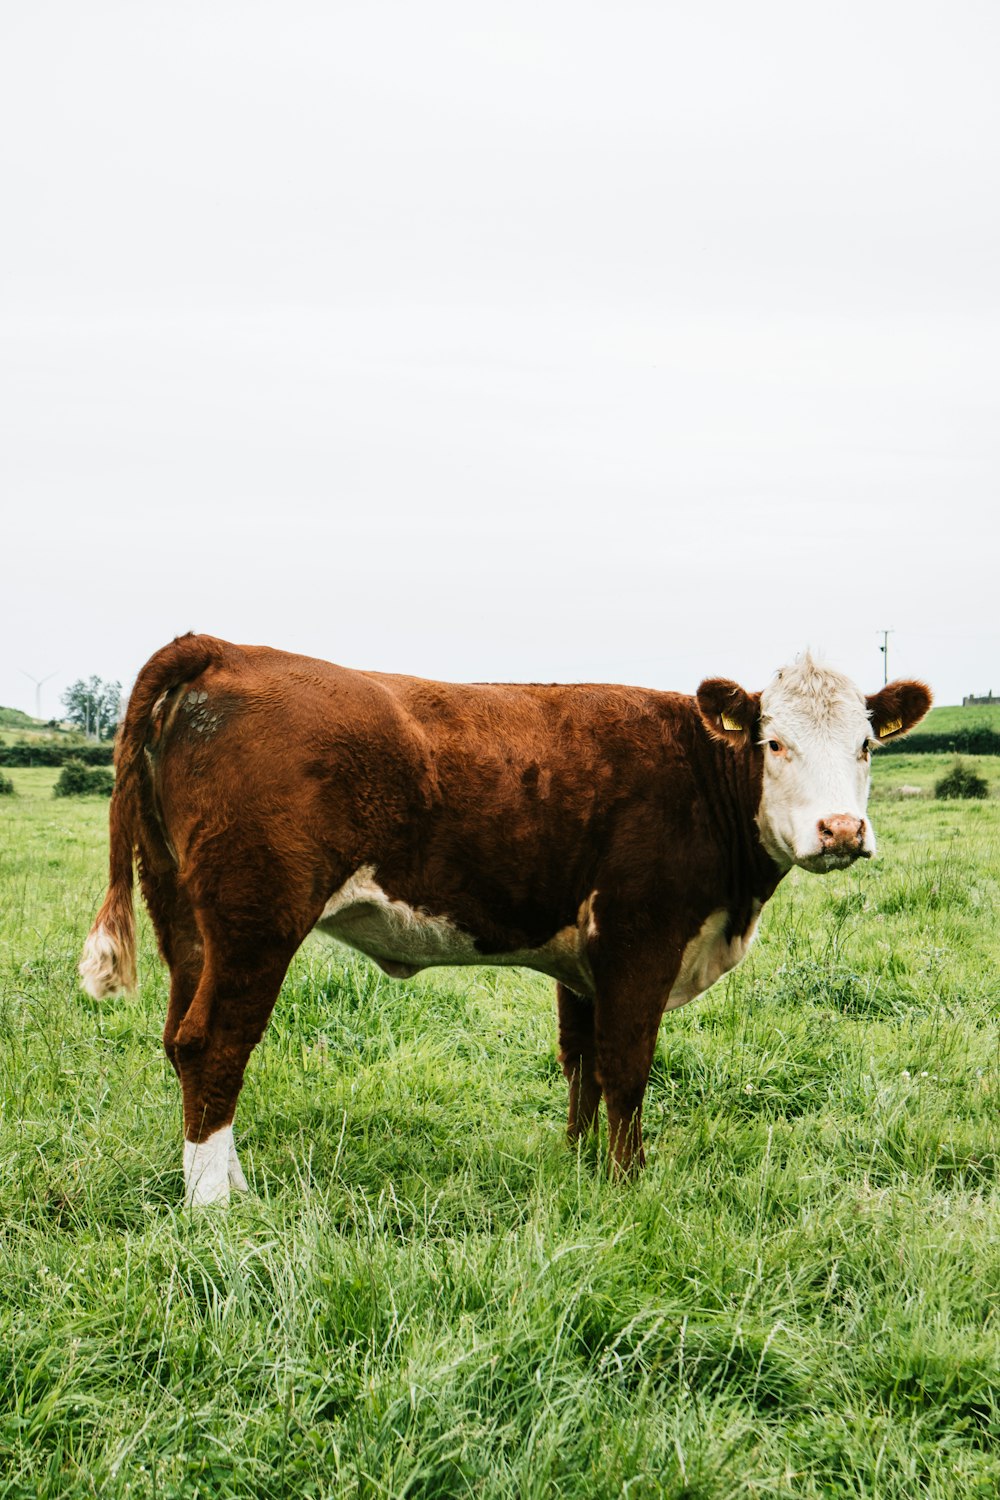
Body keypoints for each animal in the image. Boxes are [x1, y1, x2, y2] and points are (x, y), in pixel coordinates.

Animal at [78, 633, 929, 1206]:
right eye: (774, 743)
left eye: (865, 746)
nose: (842, 831)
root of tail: (223, 650)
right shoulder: (639, 938)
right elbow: (628, 1067)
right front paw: (628, 1183)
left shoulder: (583, 961)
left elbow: (582, 1063)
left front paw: (580, 1165)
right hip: (257, 915)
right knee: (214, 1043)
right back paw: (215, 1204)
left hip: (184, 914)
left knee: (180, 1038)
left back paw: (228, 1181)